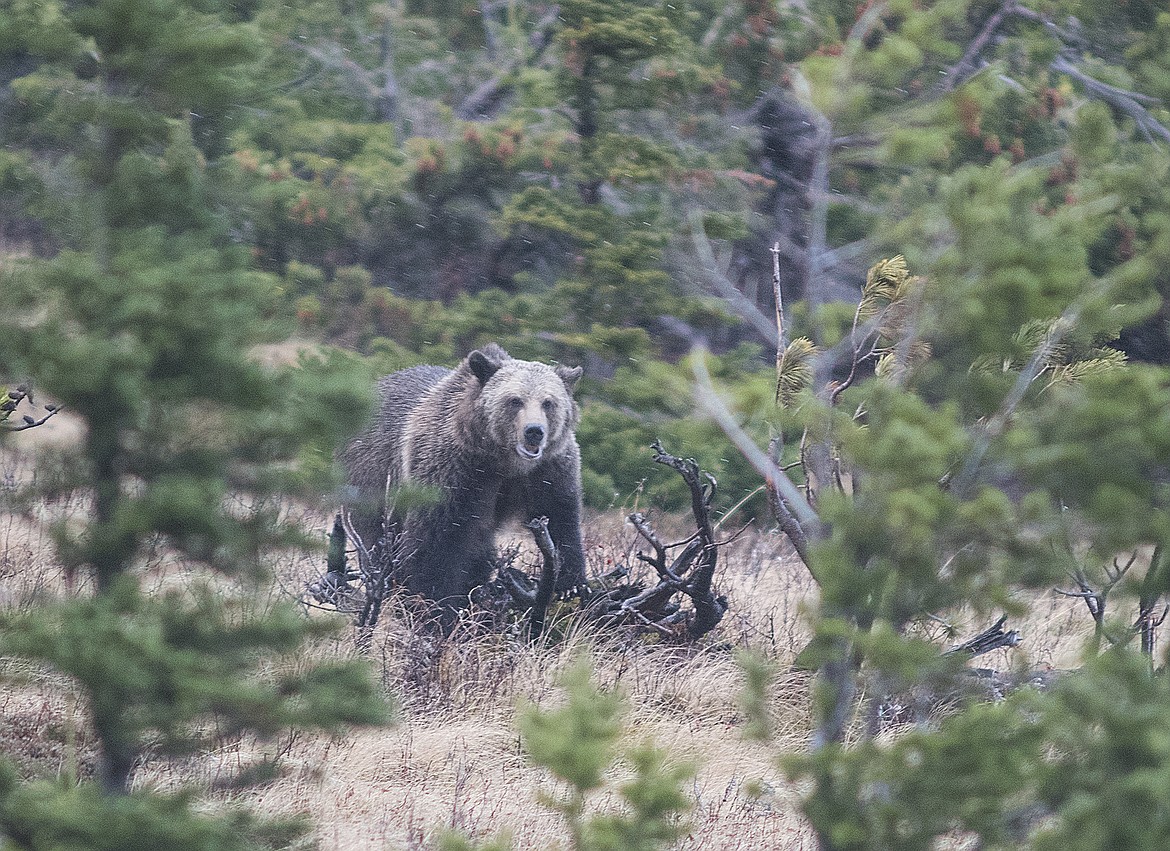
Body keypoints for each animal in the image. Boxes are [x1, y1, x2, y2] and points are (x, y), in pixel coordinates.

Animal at [341, 344, 589, 604]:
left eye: (548, 402)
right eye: (515, 400)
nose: (534, 431)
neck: (505, 464)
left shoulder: (548, 471)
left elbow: (561, 518)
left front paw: (571, 585)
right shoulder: (456, 470)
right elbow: (438, 540)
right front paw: (432, 600)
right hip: (374, 475)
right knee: (376, 535)